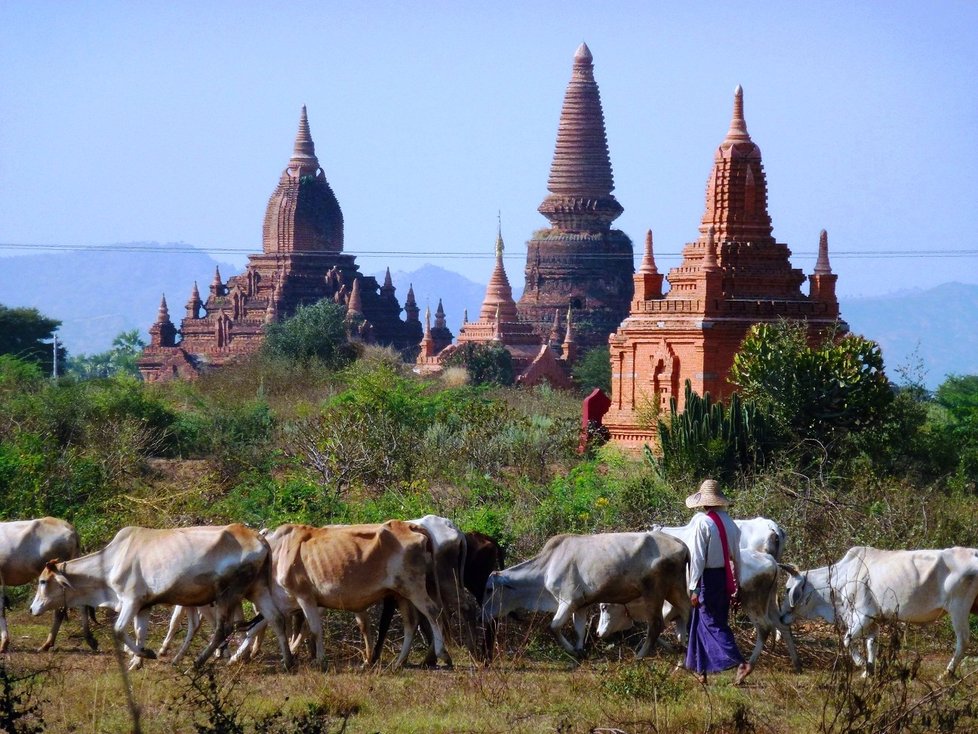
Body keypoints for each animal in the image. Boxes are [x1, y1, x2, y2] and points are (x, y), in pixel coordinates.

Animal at [28, 524, 290, 672]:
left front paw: (147, 654)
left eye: (43, 582)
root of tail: (259, 538)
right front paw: (137, 661)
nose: (32, 609)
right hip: (257, 590)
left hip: (228, 593)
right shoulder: (143, 606)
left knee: (223, 629)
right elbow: (139, 632)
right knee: (276, 618)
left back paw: (197, 663)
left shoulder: (131, 600)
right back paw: (288, 661)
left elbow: (119, 630)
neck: (112, 561)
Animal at [480, 528, 688, 660]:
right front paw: (580, 651)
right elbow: (579, 630)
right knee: (686, 613)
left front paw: (572, 651)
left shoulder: (567, 601)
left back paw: (641, 656)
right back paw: (683, 648)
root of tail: (681, 545)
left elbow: (553, 627)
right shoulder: (580, 606)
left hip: (654, 593)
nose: (481, 615)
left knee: (656, 624)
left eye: (489, 589)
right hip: (676, 589)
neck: (547, 566)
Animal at [780, 548, 978, 680]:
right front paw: (868, 671)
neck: (841, 578)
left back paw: (947, 672)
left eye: (788, 588)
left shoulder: (862, 615)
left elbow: (847, 640)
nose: (781, 616)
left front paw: (862, 665)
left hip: (958, 609)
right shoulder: (873, 620)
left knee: (963, 641)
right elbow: (871, 645)